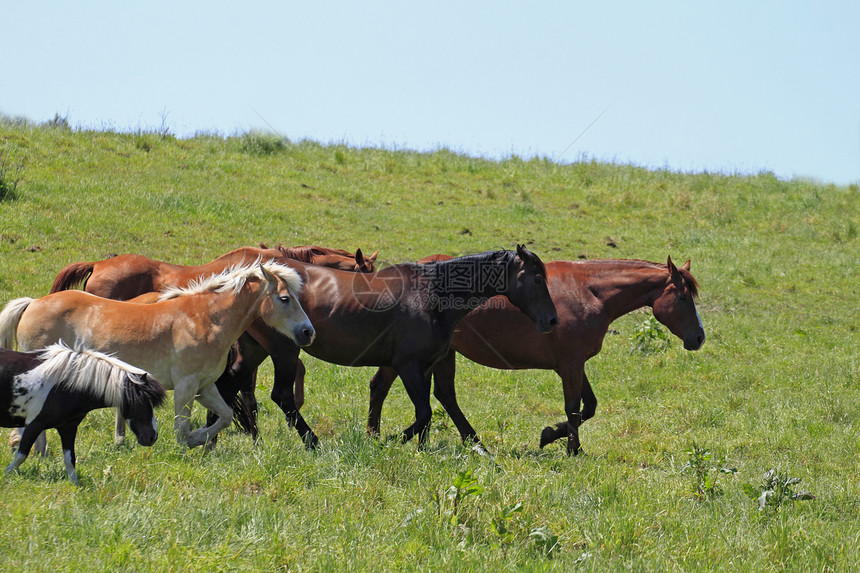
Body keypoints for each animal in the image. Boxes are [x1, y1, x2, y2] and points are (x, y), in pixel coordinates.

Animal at [0, 262, 316, 450]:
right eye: (285, 298)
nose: (308, 332)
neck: (205, 318)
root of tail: (32, 304)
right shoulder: (186, 386)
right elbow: (181, 427)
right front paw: (188, 444)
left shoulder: (204, 387)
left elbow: (224, 417)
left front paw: (198, 439)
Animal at [1, 340, 167, 482]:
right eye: (141, 403)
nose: (152, 437)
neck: (65, 385)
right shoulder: (34, 425)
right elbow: (21, 455)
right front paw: (7, 474)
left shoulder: (68, 428)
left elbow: (70, 459)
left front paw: (75, 485)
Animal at [217, 244, 556, 450]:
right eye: (537, 279)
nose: (552, 320)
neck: (432, 294)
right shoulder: (408, 366)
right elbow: (424, 414)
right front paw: (386, 440)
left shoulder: (426, 366)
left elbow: (430, 409)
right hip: (284, 350)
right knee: (281, 396)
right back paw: (313, 442)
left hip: (256, 350)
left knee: (229, 385)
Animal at [364, 256, 704, 454]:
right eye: (683, 297)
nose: (699, 338)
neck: (590, 292)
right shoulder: (570, 365)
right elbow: (574, 409)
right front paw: (569, 448)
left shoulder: (575, 363)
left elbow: (589, 407)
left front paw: (551, 435)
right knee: (384, 387)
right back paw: (383, 437)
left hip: (441, 354)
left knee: (441, 395)